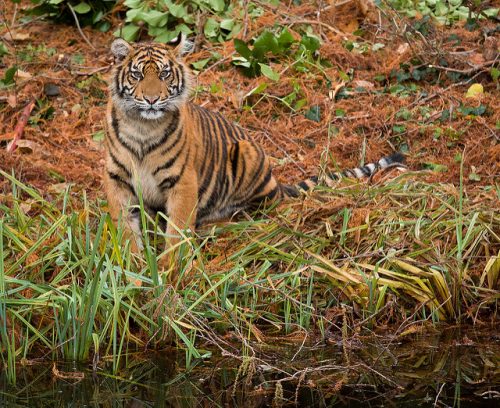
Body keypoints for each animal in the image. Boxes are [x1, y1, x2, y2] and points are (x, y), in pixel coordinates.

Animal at [105, 34, 406, 258]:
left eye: (165, 74)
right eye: (137, 75)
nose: (152, 100)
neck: (143, 128)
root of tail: (276, 182)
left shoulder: (183, 182)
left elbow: (177, 234)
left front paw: (168, 274)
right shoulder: (117, 181)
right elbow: (125, 231)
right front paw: (133, 272)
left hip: (247, 154)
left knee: (250, 209)